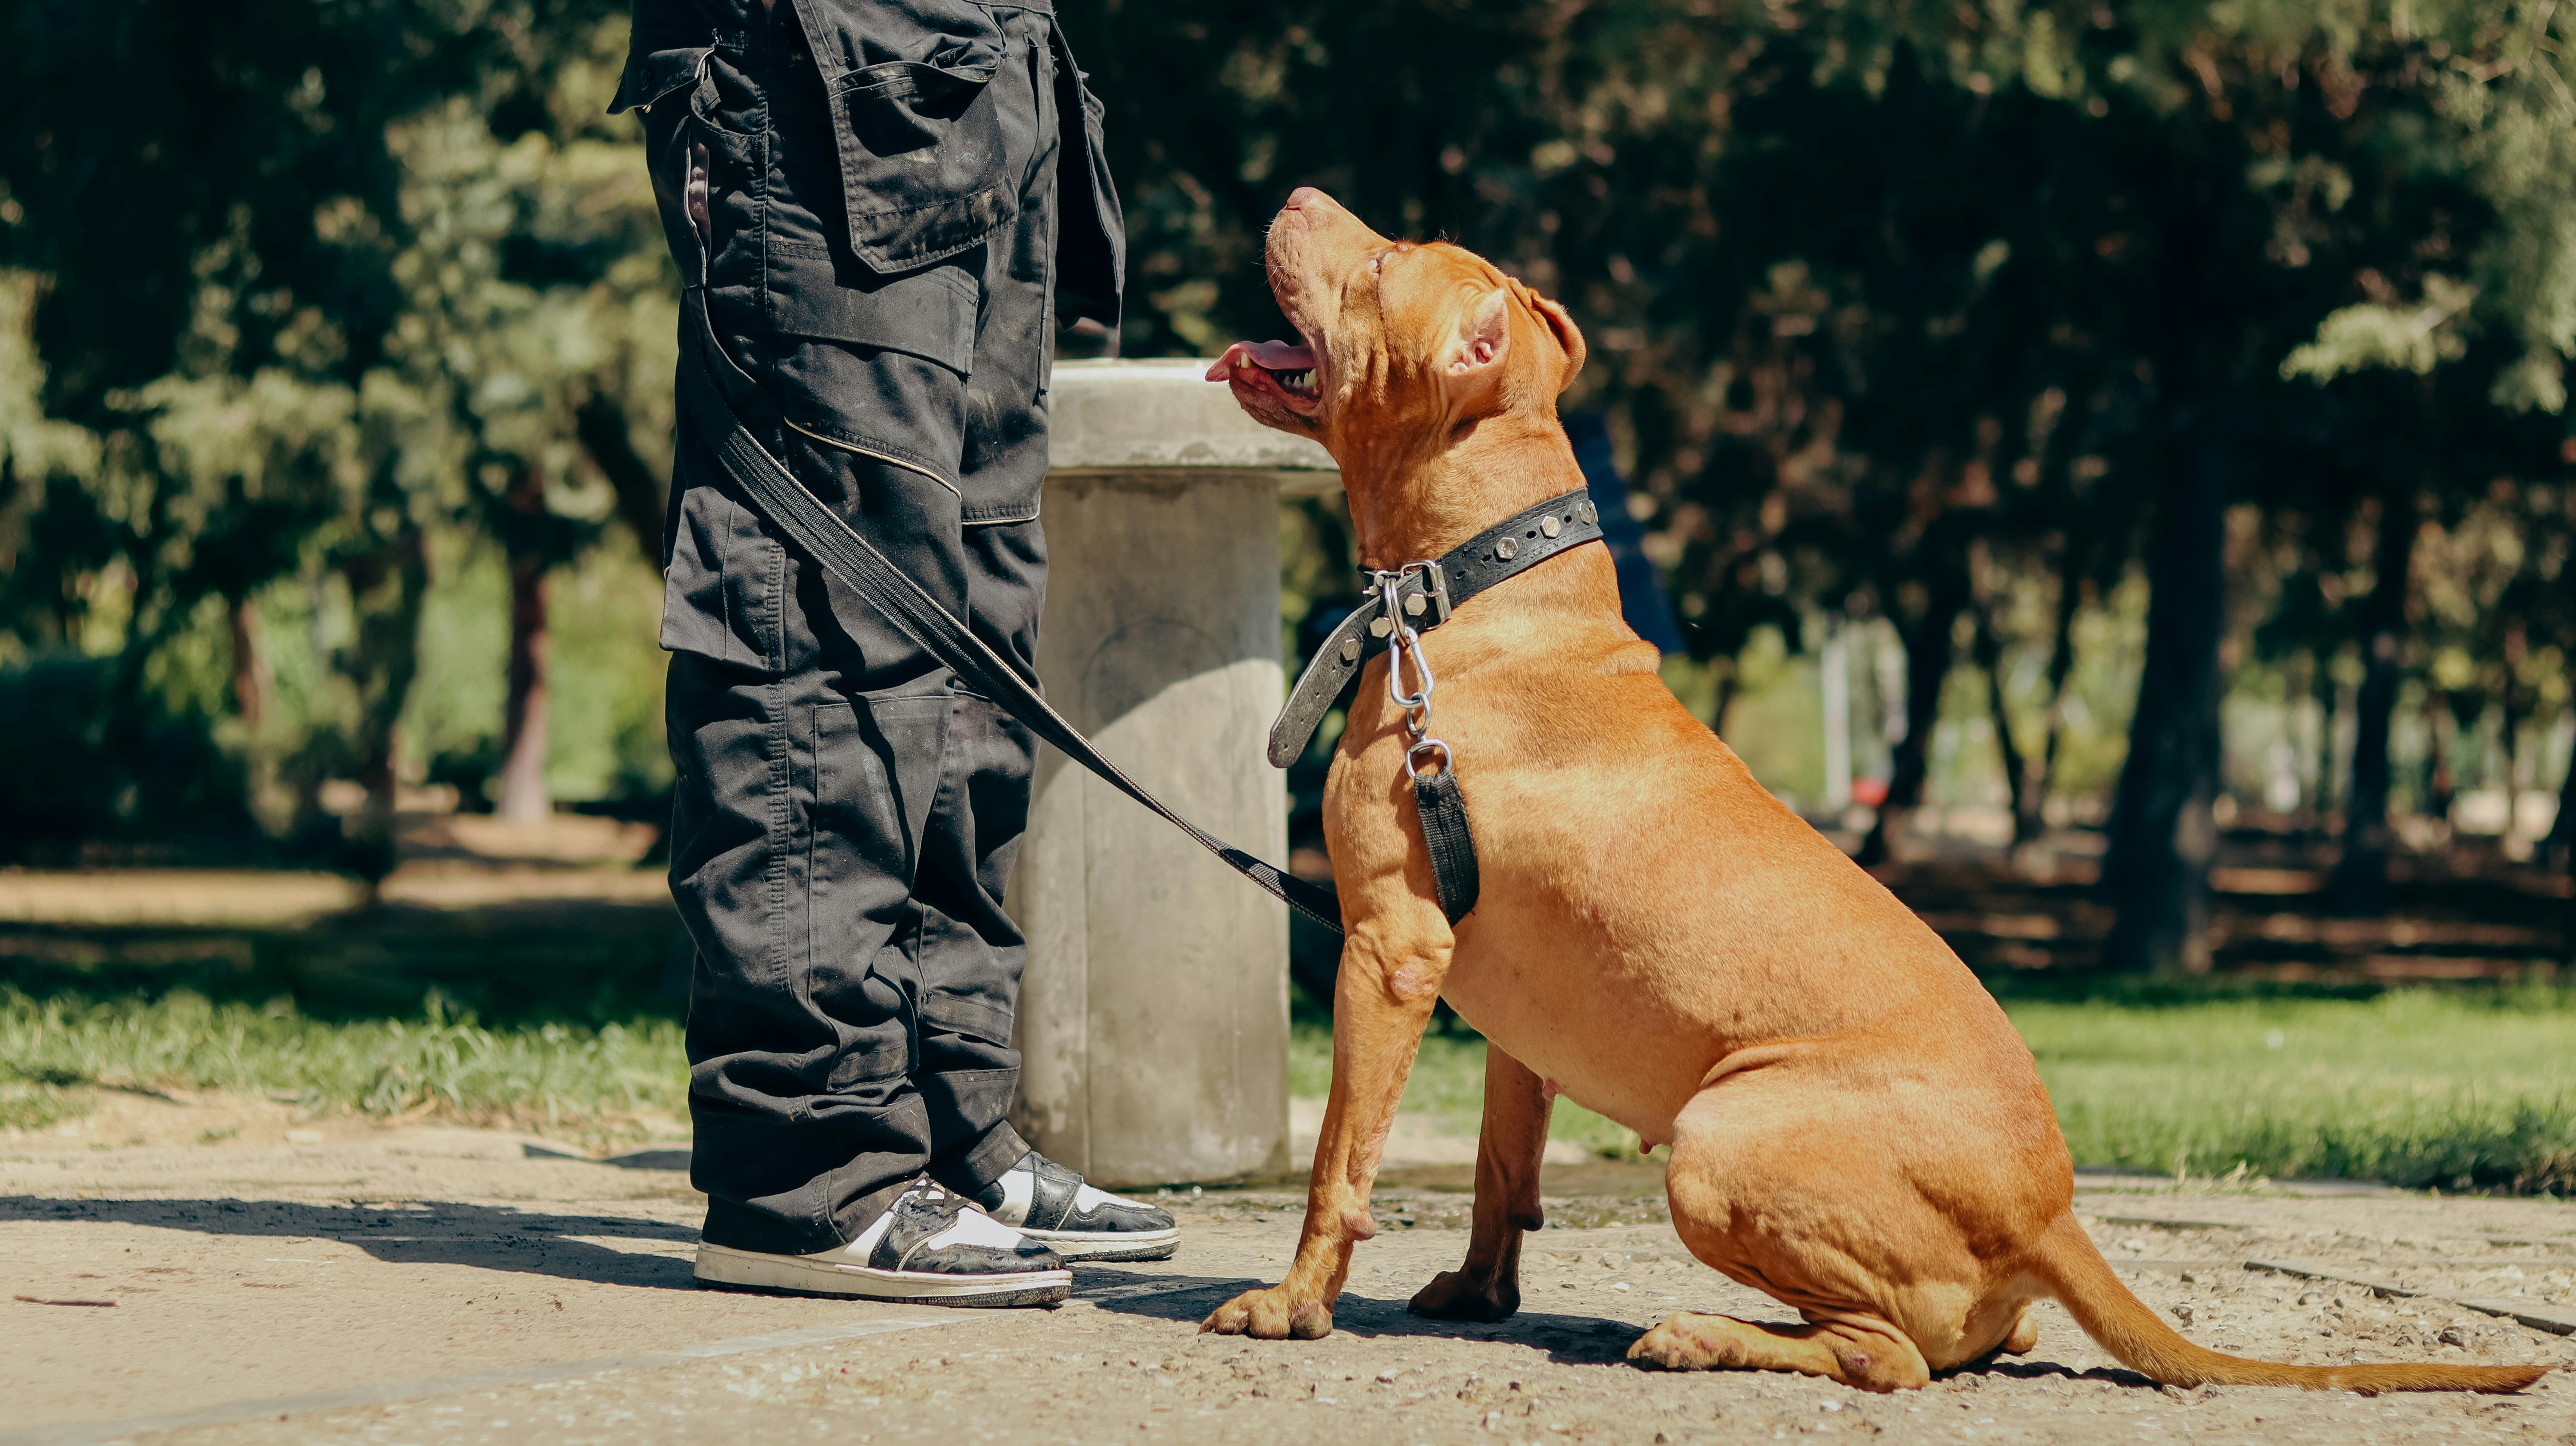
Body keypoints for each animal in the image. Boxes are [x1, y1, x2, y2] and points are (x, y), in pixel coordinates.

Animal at [1195, 185, 2545, 1391]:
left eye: (1382, 263)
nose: (1302, 190)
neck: (1470, 588)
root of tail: (2053, 1213)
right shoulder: (1498, 1003)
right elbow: (1499, 1167)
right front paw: (1479, 1294)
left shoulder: (1390, 947)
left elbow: (1338, 1163)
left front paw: (1292, 1305)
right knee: (1976, 1338)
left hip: (1718, 1139)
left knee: (1890, 1356)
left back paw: (1704, 1335)